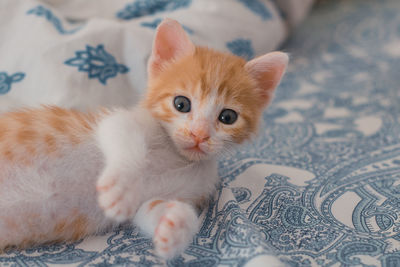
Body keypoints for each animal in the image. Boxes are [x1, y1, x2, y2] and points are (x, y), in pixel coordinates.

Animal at [0, 19, 290, 262]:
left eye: (228, 117)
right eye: (181, 104)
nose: (199, 135)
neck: (176, 156)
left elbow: (150, 210)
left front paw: (176, 227)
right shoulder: (116, 119)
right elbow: (122, 132)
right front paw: (122, 186)